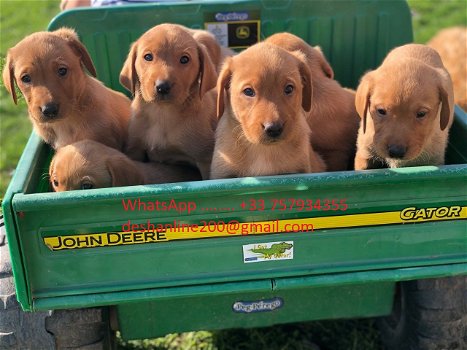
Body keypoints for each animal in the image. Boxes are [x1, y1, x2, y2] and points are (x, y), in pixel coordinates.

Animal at [120, 23, 223, 179]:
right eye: (148, 57)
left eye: (184, 59)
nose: (162, 87)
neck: (162, 112)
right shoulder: (134, 149)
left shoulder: (205, 159)